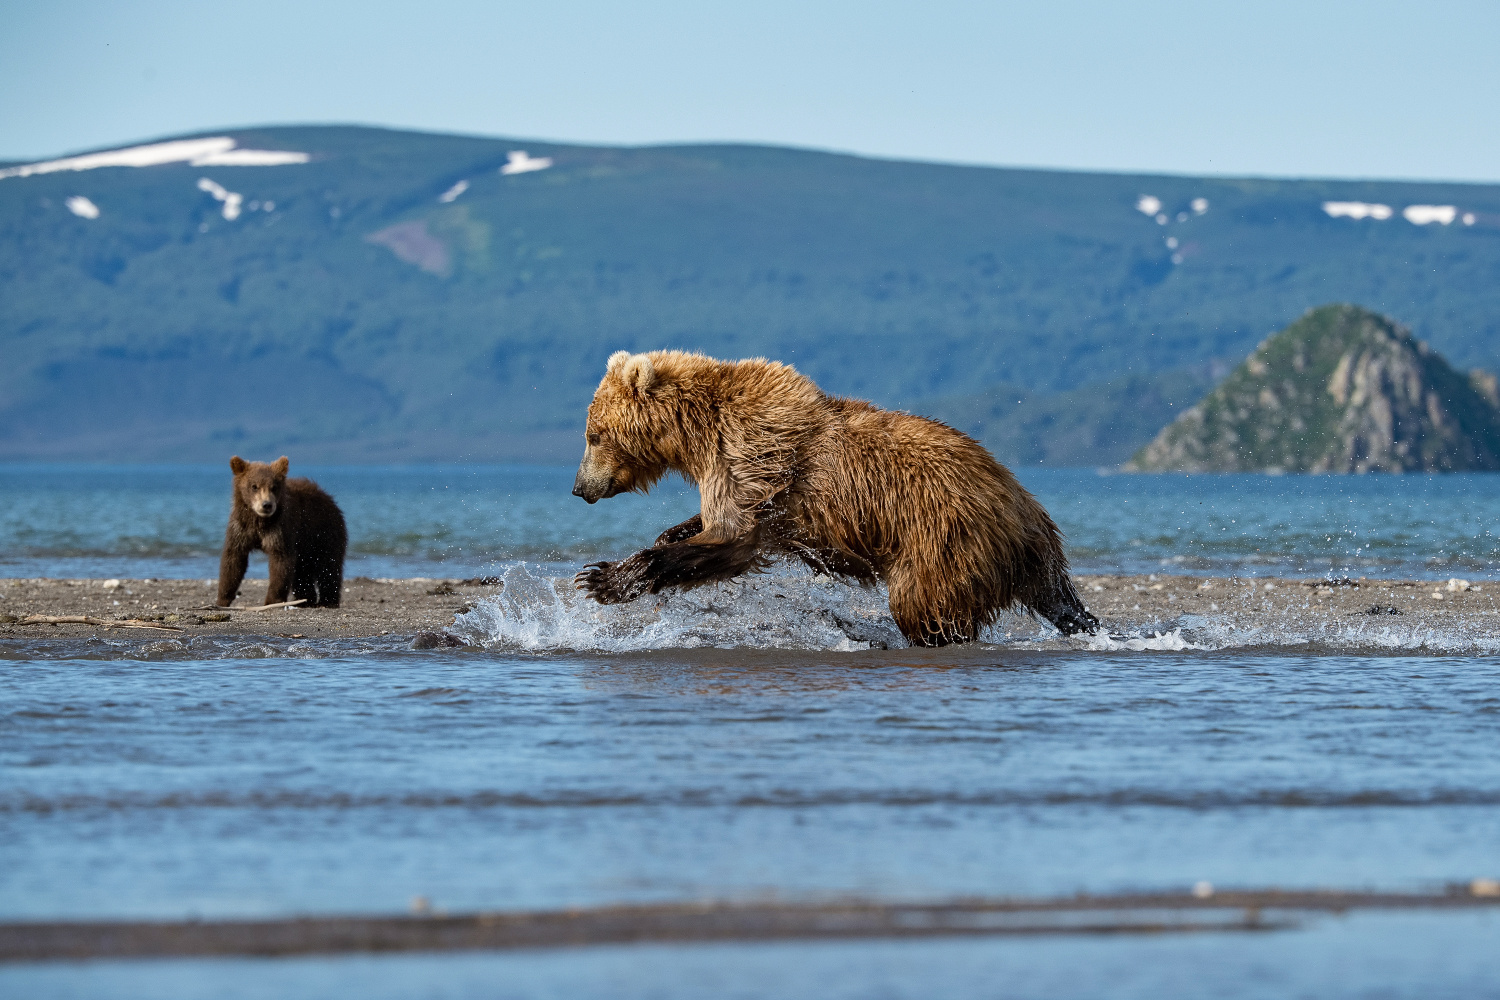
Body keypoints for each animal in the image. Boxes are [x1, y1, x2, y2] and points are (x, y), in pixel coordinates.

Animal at [217, 455, 348, 611]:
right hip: (306, 545)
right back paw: (306, 600)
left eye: (274, 487)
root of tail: (330, 499)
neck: (260, 522)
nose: (266, 505)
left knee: (328, 567)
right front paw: (222, 599)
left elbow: (281, 561)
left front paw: (272, 601)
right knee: (303, 571)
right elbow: (233, 560)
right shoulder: (241, 528)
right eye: (254, 486)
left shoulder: (280, 529)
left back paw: (328, 601)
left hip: (325, 534)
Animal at [567, 352, 1098, 650]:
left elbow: (732, 537)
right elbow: (716, 526)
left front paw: (602, 579)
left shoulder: (755, 453)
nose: (578, 488)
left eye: (593, 435)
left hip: (944, 538)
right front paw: (668, 534)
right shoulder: (744, 475)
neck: (695, 435)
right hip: (1021, 552)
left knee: (922, 606)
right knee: (1056, 597)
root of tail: (1024, 507)